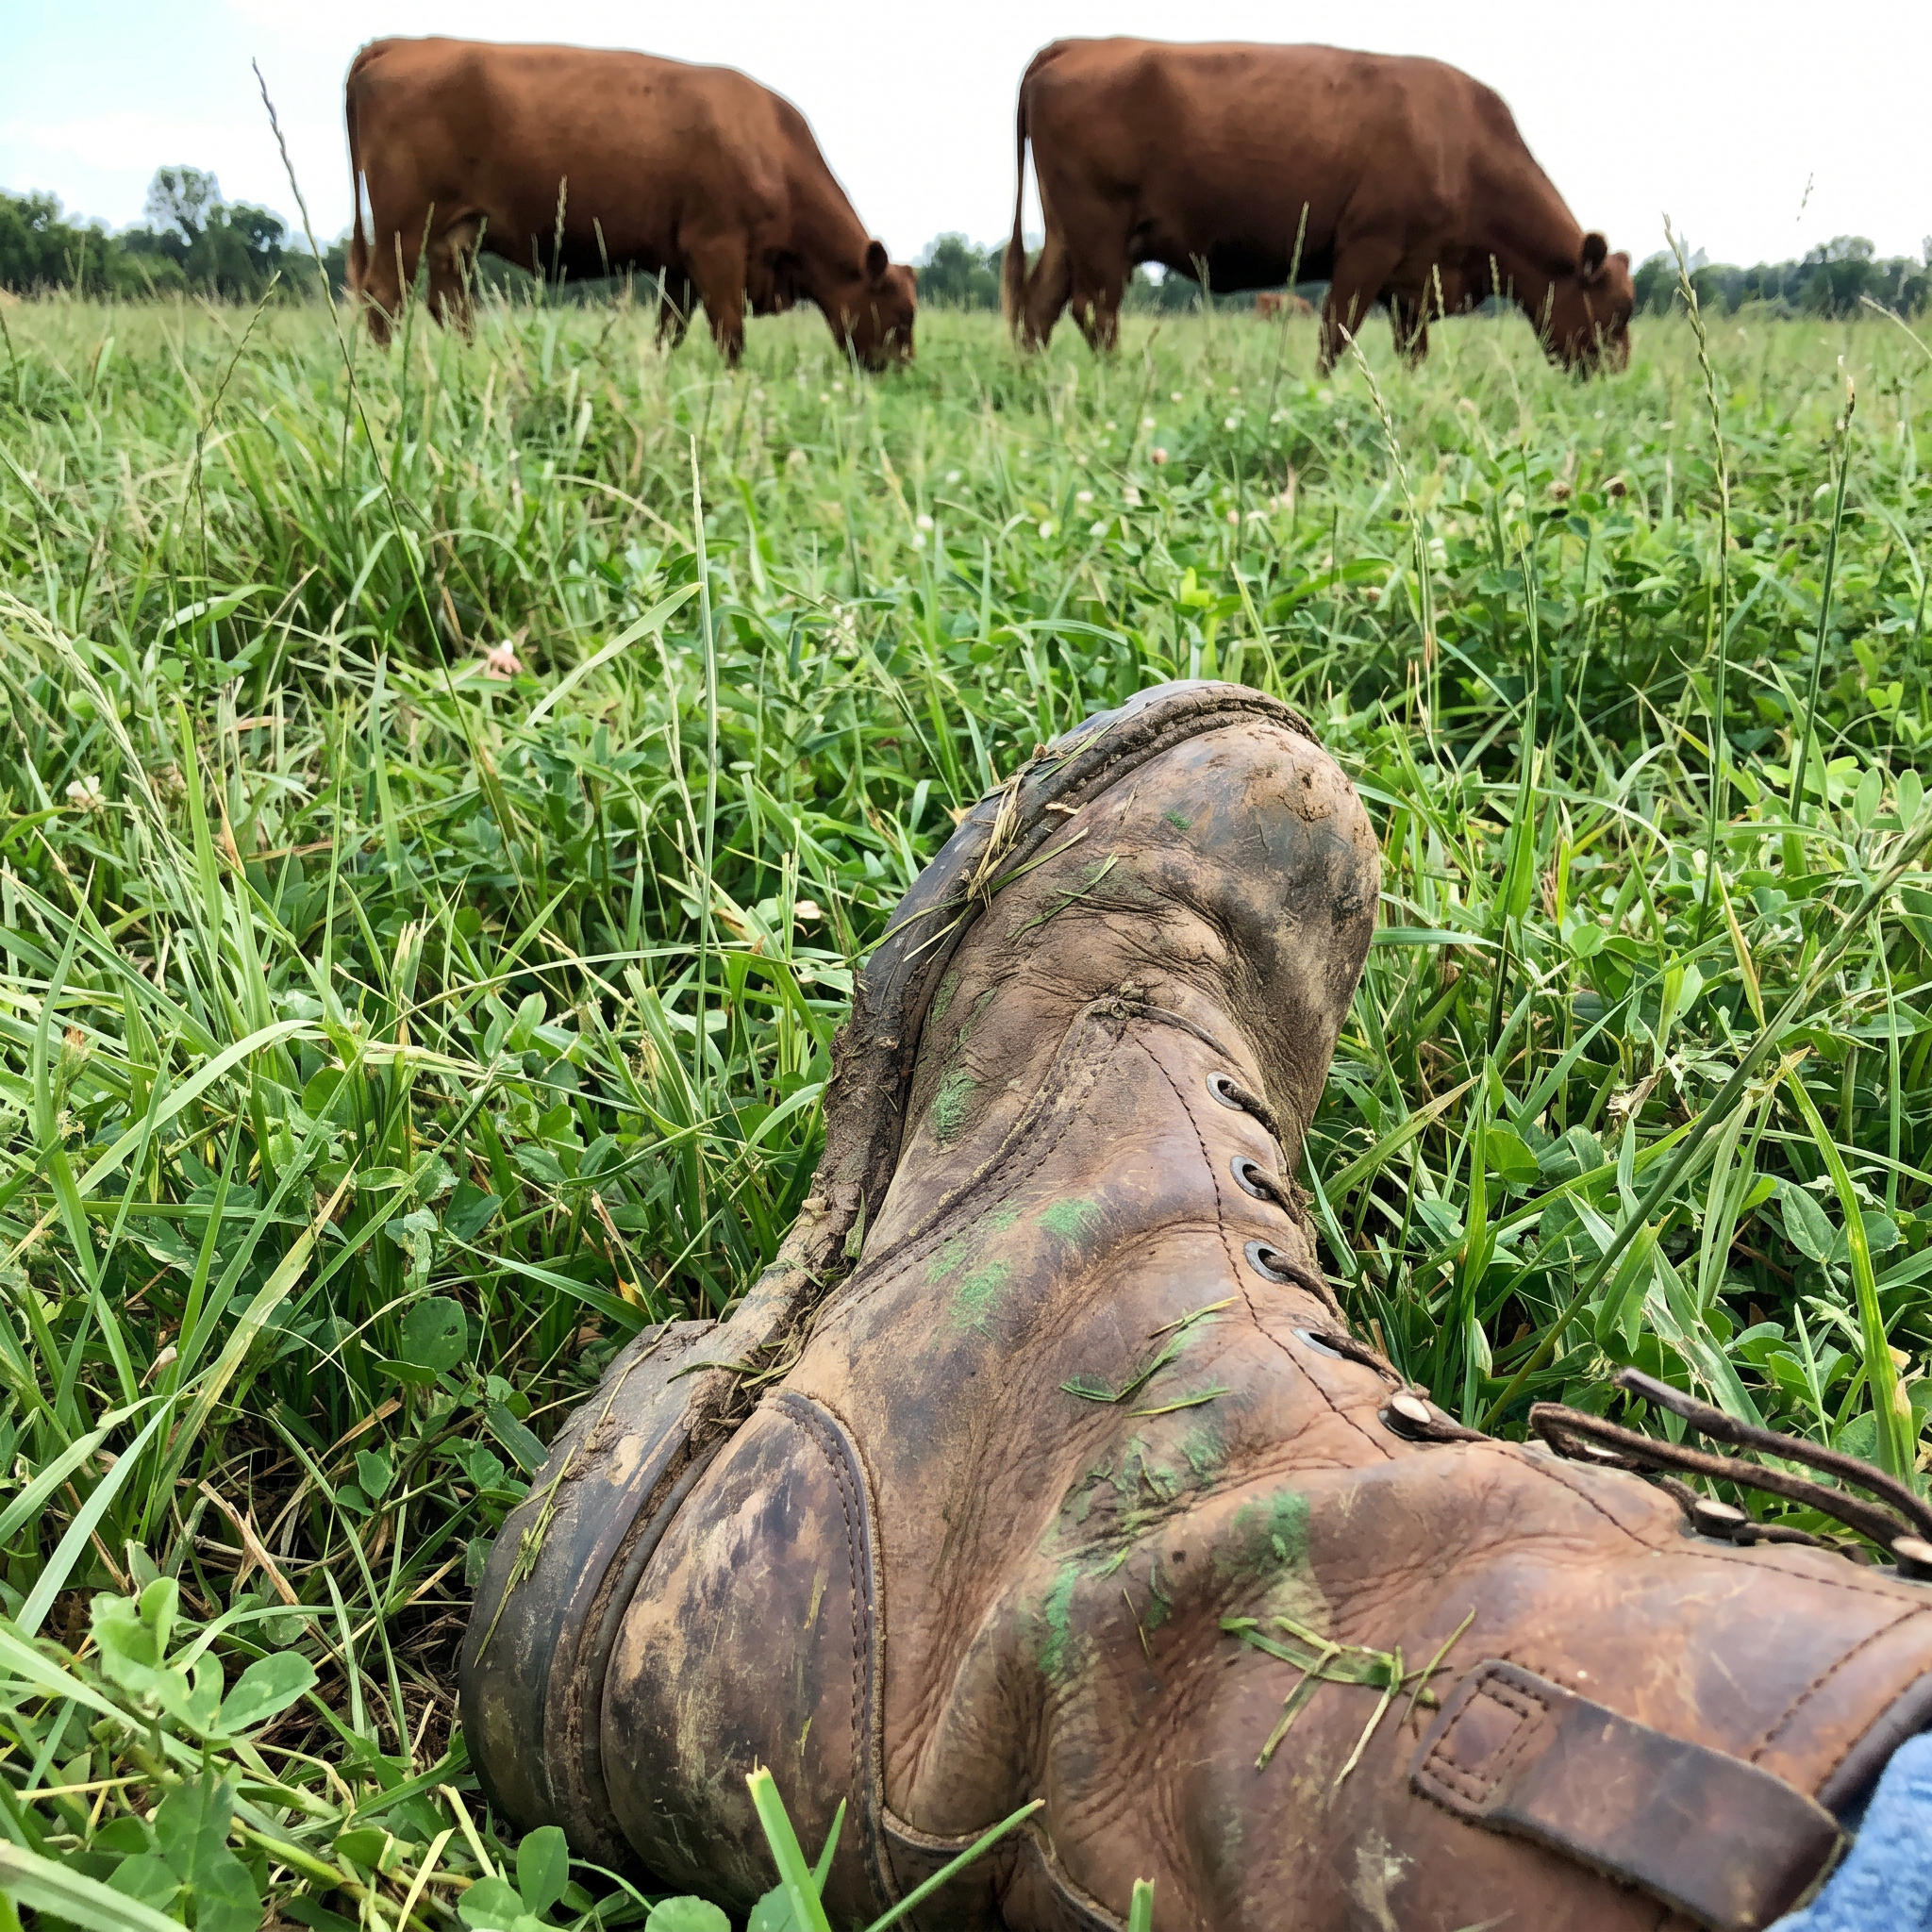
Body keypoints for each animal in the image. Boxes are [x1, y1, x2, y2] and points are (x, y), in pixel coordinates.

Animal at [343, 38, 916, 367]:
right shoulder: (716, 248)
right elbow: (729, 333)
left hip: (455, 231)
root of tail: (400, 43)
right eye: (903, 313)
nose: (903, 371)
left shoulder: (680, 263)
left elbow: (671, 331)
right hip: (405, 223)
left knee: (449, 304)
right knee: (383, 296)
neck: (770, 146)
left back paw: (473, 365)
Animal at [1003, 39, 1633, 374]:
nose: (1618, 373)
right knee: (1092, 310)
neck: (1464, 148)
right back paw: (1122, 376)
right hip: (1098, 231)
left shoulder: (1412, 283)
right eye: (1622, 309)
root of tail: (1083, 43)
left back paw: (1034, 379)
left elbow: (1412, 351)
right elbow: (1336, 335)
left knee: (1039, 307)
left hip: (1068, 235)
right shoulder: (1367, 251)